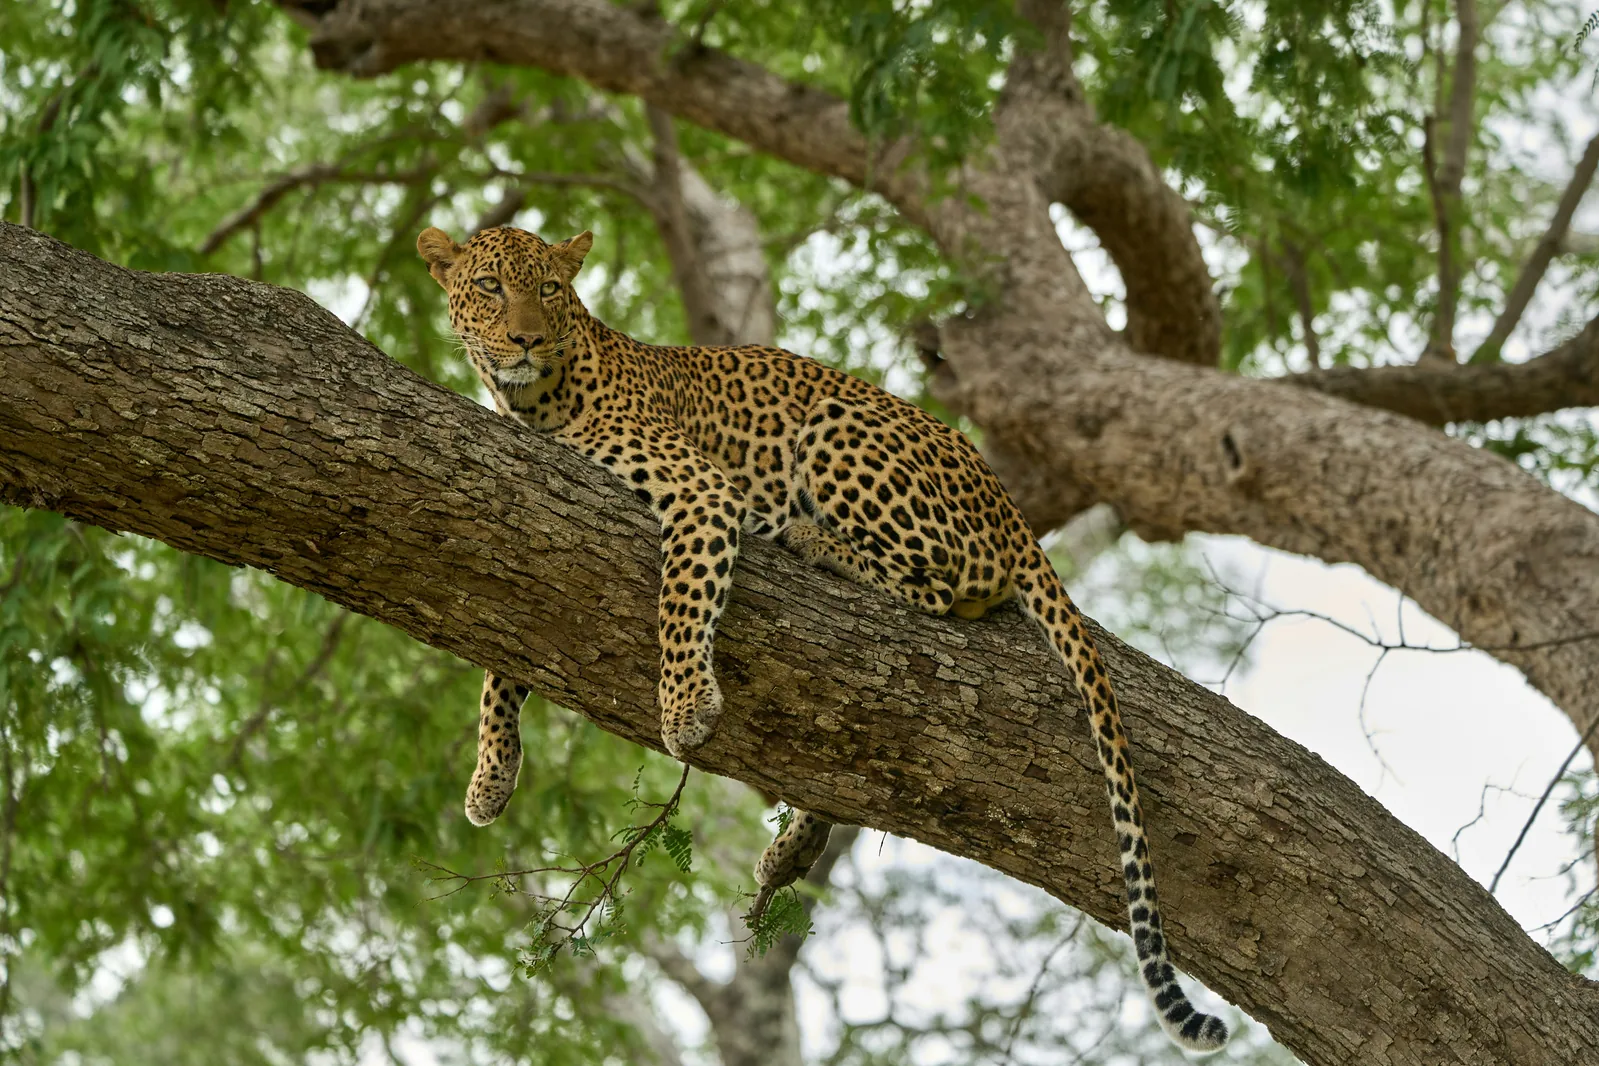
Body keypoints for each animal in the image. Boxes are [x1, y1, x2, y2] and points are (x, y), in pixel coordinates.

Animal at [417, 223, 1229, 1053]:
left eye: (548, 289)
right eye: (489, 286)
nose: (524, 338)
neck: (533, 396)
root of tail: (1011, 510)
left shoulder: (702, 489)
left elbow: (681, 598)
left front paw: (685, 706)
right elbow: (505, 650)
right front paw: (491, 775)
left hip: (839, 427)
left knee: (939, 587)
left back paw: (809, 538)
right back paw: (792, 844)